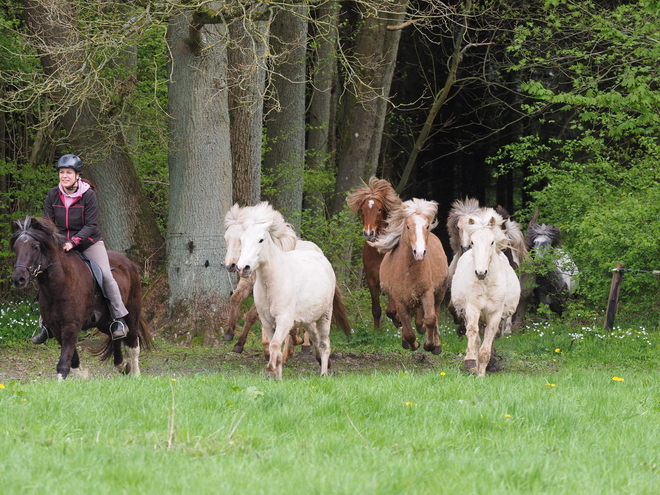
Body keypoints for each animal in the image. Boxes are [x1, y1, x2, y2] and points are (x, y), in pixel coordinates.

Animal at [10, 217, 151, 380]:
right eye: (16, 248)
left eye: (36, 247)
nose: (18, 279)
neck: (60, 283)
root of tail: (128, 263)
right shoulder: (56, 328)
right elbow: (73, 358)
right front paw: (83, 377)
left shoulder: (71, 325)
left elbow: (64, 361)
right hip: (104, 321)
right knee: (115, 336)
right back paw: (121, 365)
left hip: (132, 312)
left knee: (133, 343)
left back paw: (135, 374)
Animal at [236, 204, 350, 380]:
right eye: (242, 240)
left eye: (261, 239)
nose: (243, 268)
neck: (271, 284)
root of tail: (321, 257)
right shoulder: (267, 322)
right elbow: (274, 349)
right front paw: (278, 378)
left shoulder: (284, 320)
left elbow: (275, 345)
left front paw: (271, 370)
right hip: (308, 320)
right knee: (315, 338)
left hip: (325, 316)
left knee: (324, 343)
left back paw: (324, 373)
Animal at [346, 175, 402, 330]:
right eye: (362, 210)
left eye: (379, 209)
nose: (368, 233)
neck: (379, 254)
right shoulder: (372, 280)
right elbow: (376, 310)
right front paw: (376, 331)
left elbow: (391, 310)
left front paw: (398, 320)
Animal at [368, 200, 452, 354]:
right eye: (407, 226)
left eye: (427, 226)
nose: (419, 253)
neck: (408, 271)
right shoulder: (399, 299)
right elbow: (407, 329)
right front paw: (413, 344)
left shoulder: (427, 293)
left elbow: (430, 319)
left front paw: (430, 345)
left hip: (439, 293)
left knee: (435, 315)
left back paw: (436, 343)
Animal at [452, 211, 524, 378]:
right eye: (472, 242)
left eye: (492, 242)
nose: (480, 272)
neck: (486, 285)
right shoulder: (472, 309)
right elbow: (473, 334)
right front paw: (471, 361)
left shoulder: (495, 314)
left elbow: (487, 345)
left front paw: (481, 374)